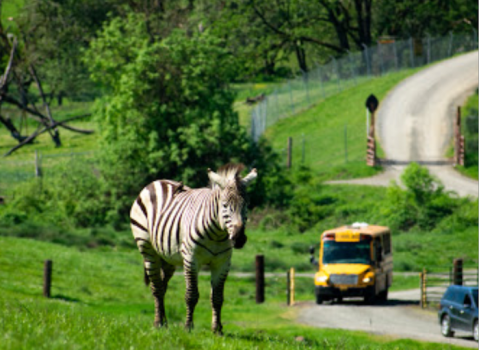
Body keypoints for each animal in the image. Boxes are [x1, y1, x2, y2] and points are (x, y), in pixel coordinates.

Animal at [128, 164, 258, 334]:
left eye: (246, 206)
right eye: (224, 205)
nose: (239, 239)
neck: (217, 235)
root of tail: (157, 181)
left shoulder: (222, 263)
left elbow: (217, 298)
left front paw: (217, 330)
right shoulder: (191, 259)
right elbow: (191, 295)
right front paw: (188, 327)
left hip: (168, 258)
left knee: (162, 286)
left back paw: (164, 322)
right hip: (148, 249)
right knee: (156, 287)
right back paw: (158, 323)